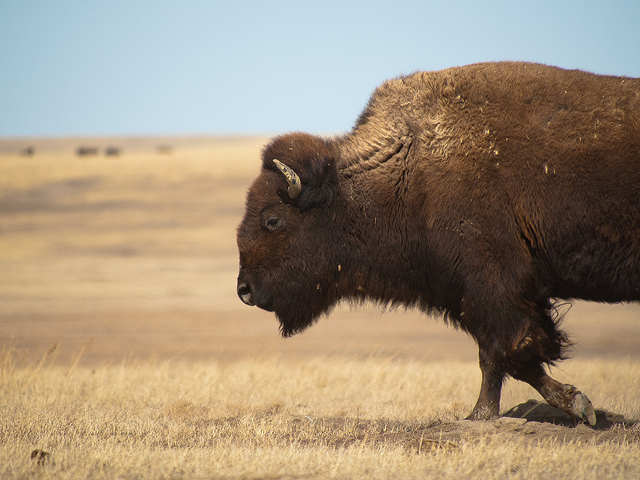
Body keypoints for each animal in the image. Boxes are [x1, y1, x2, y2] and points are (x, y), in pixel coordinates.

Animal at [236, 62, 640, 426]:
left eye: (272, 219)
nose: (244, 290)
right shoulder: (474, 296)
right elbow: (501, 356)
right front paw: (489, 413)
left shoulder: (493, 287)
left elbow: (507, 352)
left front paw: (565, 407)